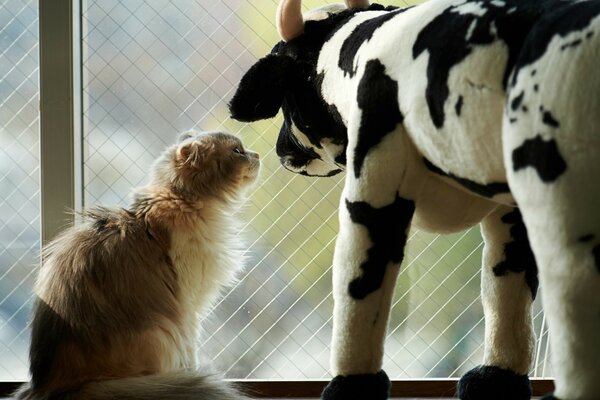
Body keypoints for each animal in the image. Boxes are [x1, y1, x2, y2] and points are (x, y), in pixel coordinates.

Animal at [15, 131, 258, 400]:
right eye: (237, 151)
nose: (257, 154)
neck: (182, 200)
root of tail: (52, 386)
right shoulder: (188, 307)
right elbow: (191, 349)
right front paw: (191, 370)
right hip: (163, 333)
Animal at [230, 0, 600, 396]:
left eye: (285, 103)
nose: (280, 149)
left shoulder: (374, 201)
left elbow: (360, 295)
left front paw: (352, 385)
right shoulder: (509, 220)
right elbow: (505, 295)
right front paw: (497, 377)